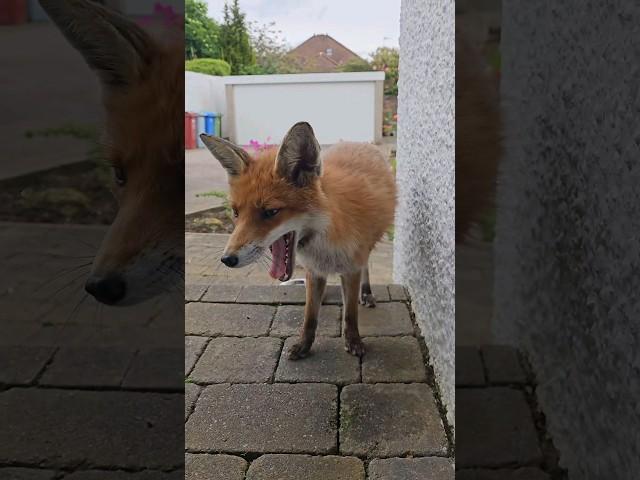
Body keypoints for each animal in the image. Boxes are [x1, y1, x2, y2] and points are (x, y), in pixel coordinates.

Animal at [204, 123, 396, 356]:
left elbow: (350, 314)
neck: (325, 236)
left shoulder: (351, 268)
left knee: (366, 266)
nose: (227, 259)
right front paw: (304, 345)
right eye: (235, 213)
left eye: (271, 212)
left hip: (367, 247)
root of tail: (358, 143)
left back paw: (366, 293)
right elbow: (310, 316)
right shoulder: (314, 271)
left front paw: (353, 341)